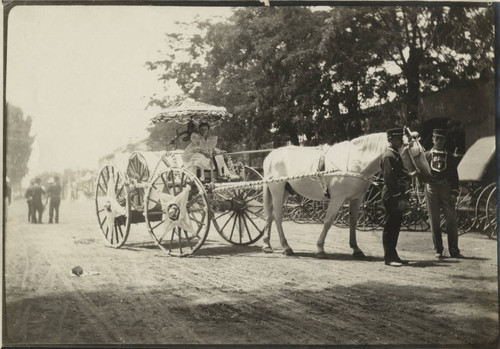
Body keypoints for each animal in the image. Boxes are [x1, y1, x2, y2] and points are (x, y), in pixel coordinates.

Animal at [262, 131, 430, 258]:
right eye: (416, 153)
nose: (428, 175)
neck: (356, 162)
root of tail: (271, 156)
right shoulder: (337, 198)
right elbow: (328, 221)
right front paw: (320, 249)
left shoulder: (357, 198)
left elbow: (353, 222)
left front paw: (356, 249)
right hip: (277, 191)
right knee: (277, 217)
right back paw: (286, 247)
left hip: (285, 191)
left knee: (270, 216)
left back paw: (267, 244)